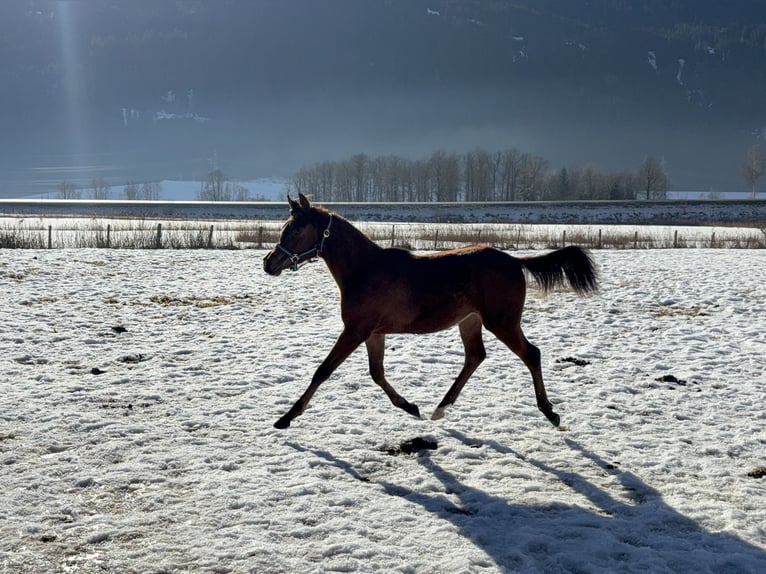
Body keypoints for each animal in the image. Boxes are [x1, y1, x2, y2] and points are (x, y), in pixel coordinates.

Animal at [264, 196, 600, 430]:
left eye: (295, 229)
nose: (269, 263)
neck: (365, 271)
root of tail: (515, 261)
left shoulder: (355, 330)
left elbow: (323, 371)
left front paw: (286, 417)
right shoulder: (374, 333)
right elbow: (377, 373)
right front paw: (410, 407)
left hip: (502, 322)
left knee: (531, 354)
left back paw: (550, 412)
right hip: (470, 321)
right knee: (475, 356)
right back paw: (440, 408)